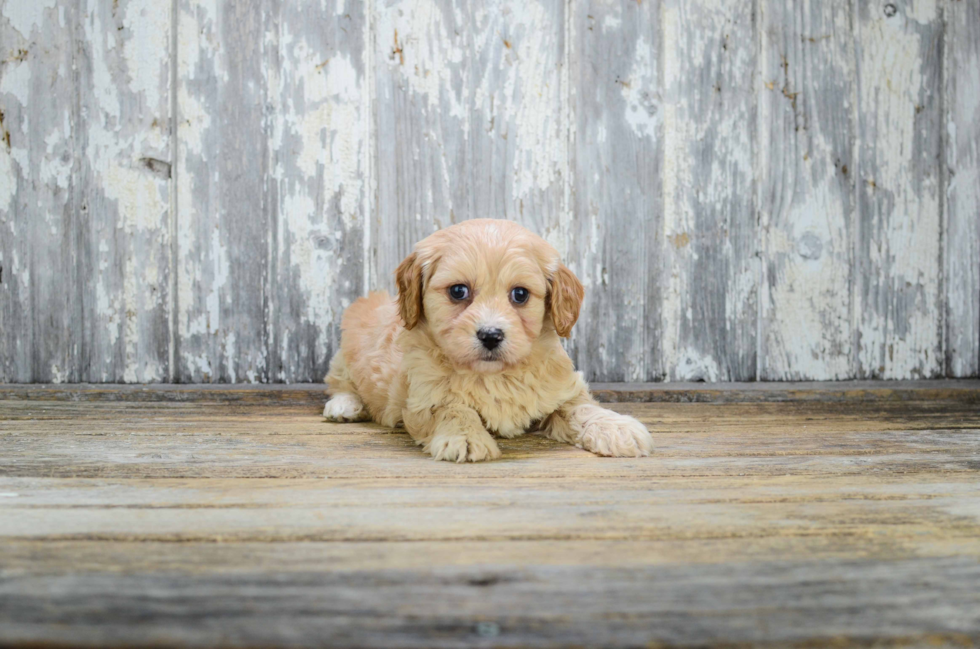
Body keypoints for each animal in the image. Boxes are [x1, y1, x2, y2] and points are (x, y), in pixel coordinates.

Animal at [326, 218, 656, 460]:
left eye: (520, 294)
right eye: (458, 291)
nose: (491, 335)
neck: (494, 375)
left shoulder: (561, 389)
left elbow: (582, 407)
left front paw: (615, 427)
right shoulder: (423, 398)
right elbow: (453, 408)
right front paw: (465, 437)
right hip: (346, 351)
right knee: (339, 381)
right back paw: (344, 406)